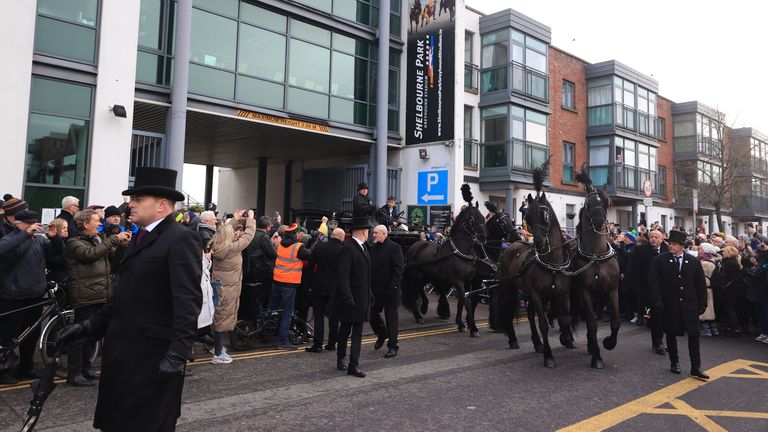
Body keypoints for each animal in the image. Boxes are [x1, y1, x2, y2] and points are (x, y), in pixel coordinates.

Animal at [402, 186, 486, 334]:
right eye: (472, 219)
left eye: (482, 217)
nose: (484, 236)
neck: (461, 251)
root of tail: (414, 246)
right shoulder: (458, 281)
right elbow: (466, 302)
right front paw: (473, 328)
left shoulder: (467, 281)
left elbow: (461, 302)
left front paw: (461, 324)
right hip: (413, 275)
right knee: (413, 292)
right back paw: (418, 316)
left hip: (425, 275)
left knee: (420, 288)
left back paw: (424, 307)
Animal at [498, 163, 576, 368]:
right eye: (529, 218)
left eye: (545, 215)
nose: (539, 243)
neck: (552, 262)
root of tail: (511, 246)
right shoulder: (539, 295)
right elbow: (543, 324)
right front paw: (549, 356)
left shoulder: (562, 294)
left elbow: (565, 317)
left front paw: (567, 338)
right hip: (510, 288)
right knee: (510, 310)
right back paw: (513, 339)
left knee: (530, 313)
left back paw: (536, 342)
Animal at [568, 167, 624, 370]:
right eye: (589, 201)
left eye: (606, 201)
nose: (600, 220)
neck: (596, 256)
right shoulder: (584, 291)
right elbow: (592, 323)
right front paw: (597, 357)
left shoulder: (612, 290)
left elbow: (616, 321)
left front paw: (608, 342)